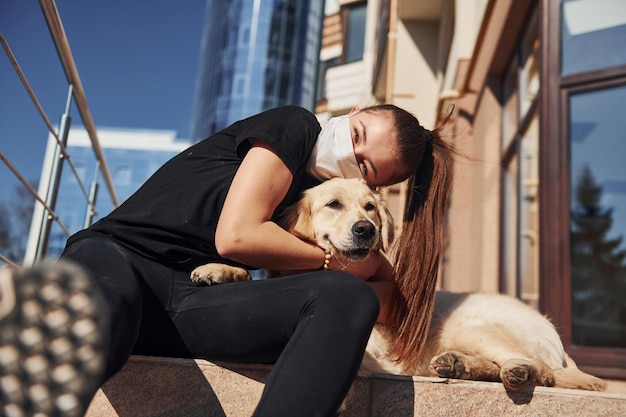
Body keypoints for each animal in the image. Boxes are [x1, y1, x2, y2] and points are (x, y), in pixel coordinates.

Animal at [191, 178, 604, 390]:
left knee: (539, 370)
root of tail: (552, 331)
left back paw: (513, 371)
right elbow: (251, 275)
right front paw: (218, 269)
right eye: (333, 205)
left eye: (370, 207)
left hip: (470, 326)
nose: (366, 229)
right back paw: (458, 366)